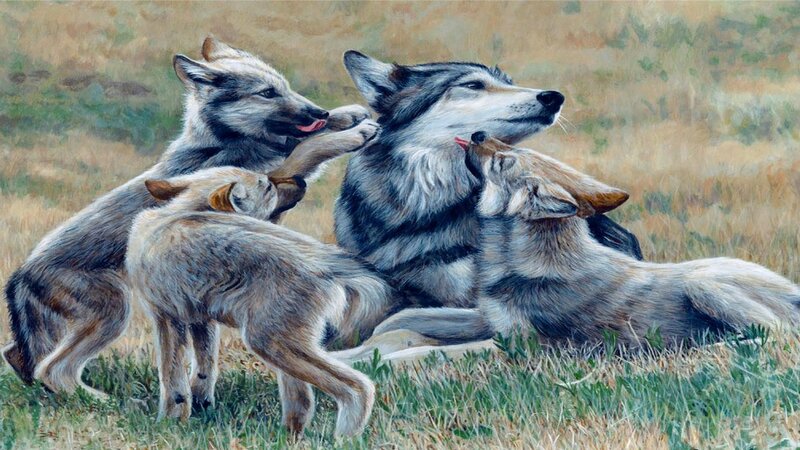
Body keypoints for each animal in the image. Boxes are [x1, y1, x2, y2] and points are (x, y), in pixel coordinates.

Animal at [2, 37, 377, 397]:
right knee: (53, 369)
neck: (218, 143)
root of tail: (21, 274)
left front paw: (346, 115)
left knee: (18, 355)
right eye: (267, 93)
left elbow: (307, 138)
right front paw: (353, 133)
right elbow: (310, 146)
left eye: (284, 87)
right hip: (113, 311)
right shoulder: (272, 172)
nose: (319, 109)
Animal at [127, 167, 396, 436]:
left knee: (358, 387)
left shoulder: (167, 319)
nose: (301, 180)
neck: (174, 215)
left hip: (269, 342)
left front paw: (168, 423)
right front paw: (198, 408)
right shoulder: (199, 320)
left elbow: (173, 384)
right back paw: (288, 437)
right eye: (268, 187)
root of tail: (325, 264)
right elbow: (204, 370)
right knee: (302, 403)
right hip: (283, 345)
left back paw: (344, 439)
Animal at [469, 132, 800, 348]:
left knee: (778, 334)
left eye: (501, 162)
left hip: (703, 285)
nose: (477, 133)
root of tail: (792, 289)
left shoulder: (523, 346)